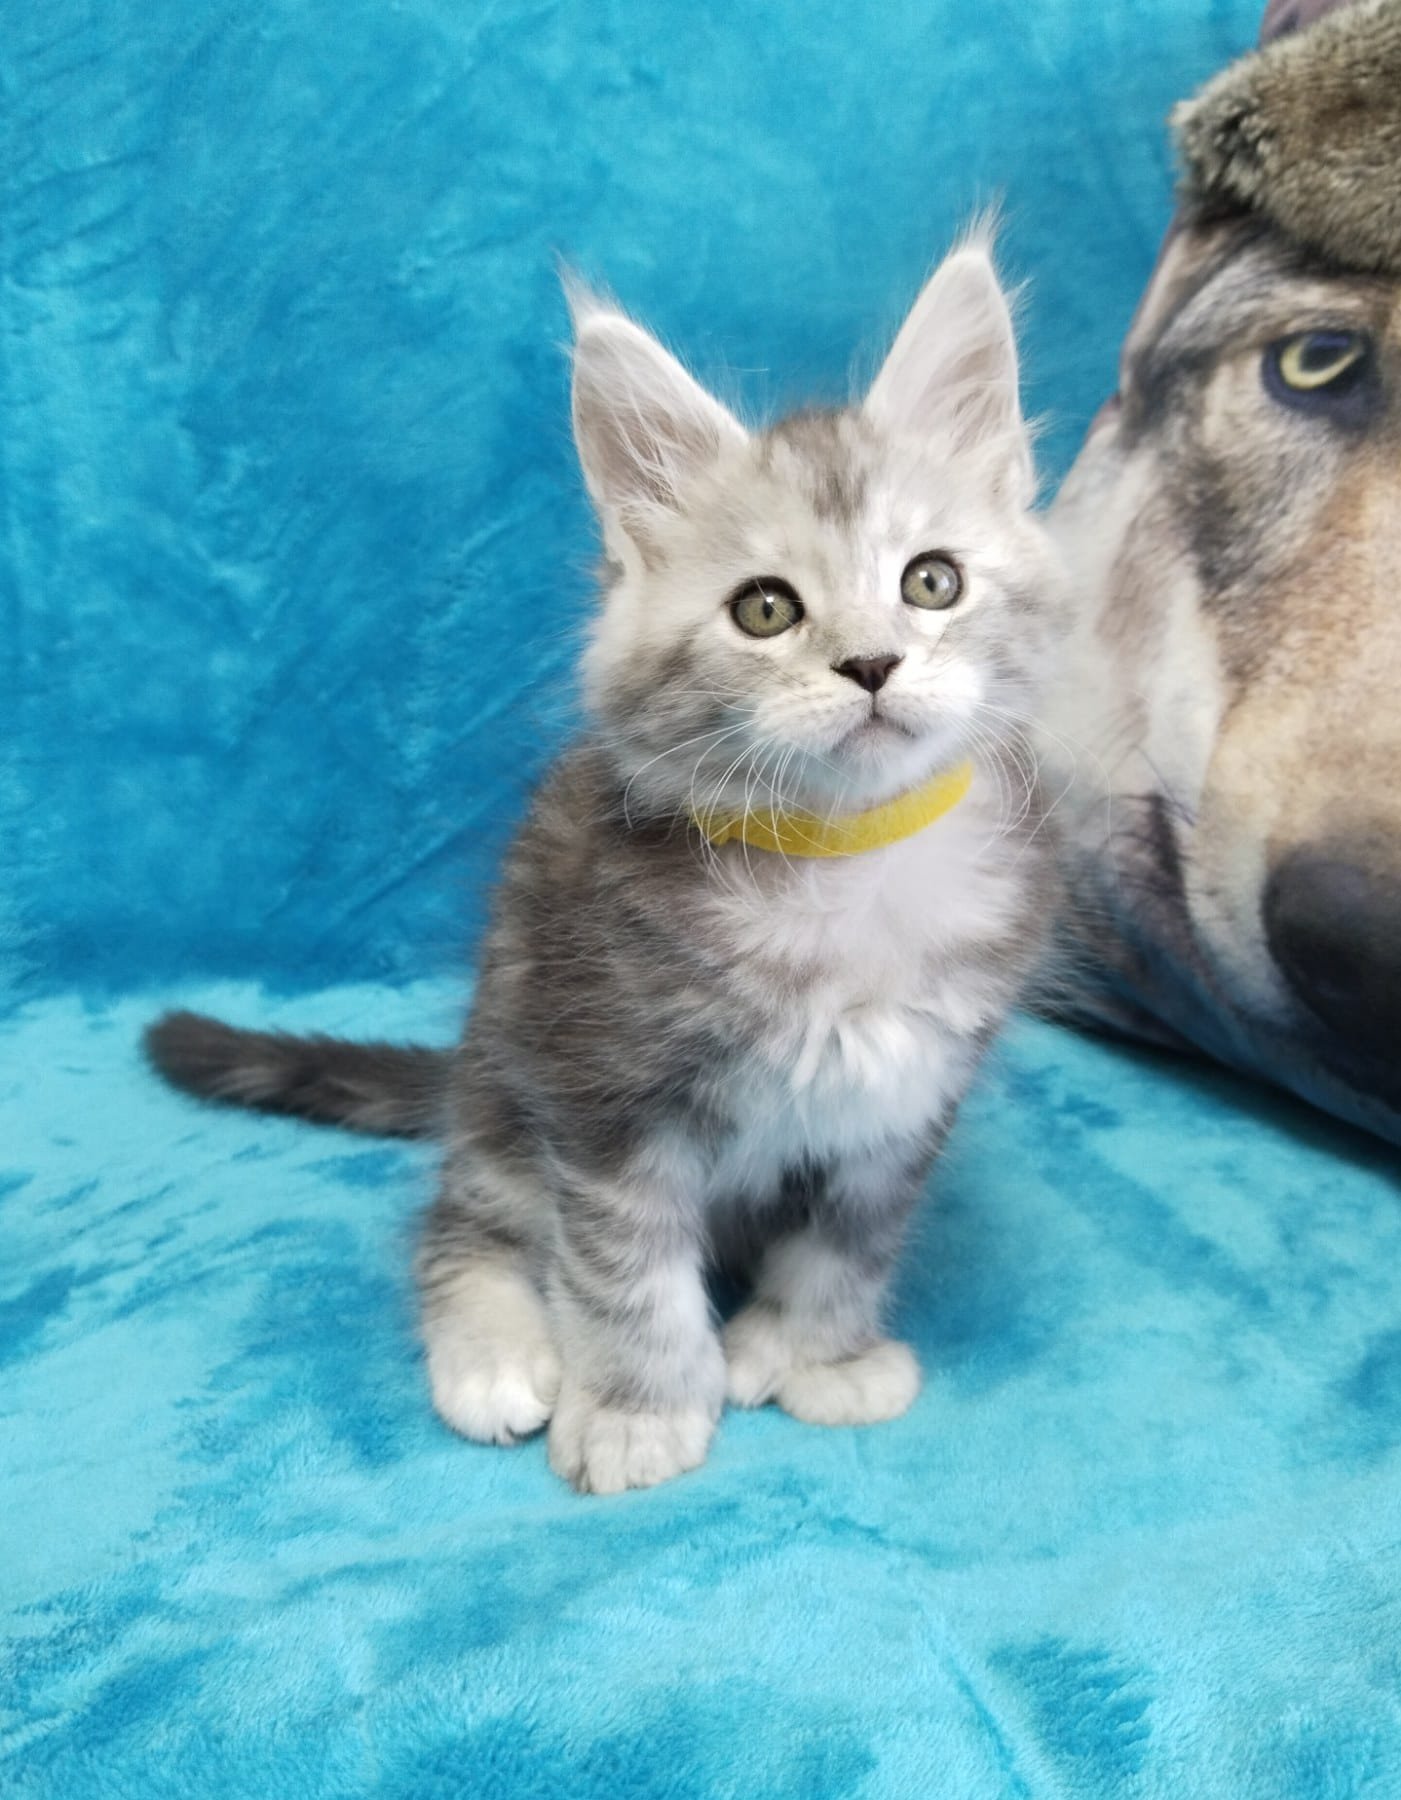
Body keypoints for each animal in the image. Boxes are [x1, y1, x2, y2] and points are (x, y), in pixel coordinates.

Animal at [147, 233, 1064, 1494]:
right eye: (766, 609)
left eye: (933, 581)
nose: (873, 664)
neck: (837, 865)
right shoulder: (599, 1098)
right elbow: (626, 1276)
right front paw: (639, 1410)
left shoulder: (905, 1103)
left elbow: (847, 1249)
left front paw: (813, 1355)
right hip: (501, 1083)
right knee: (459, 1227)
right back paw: (492, 1353)